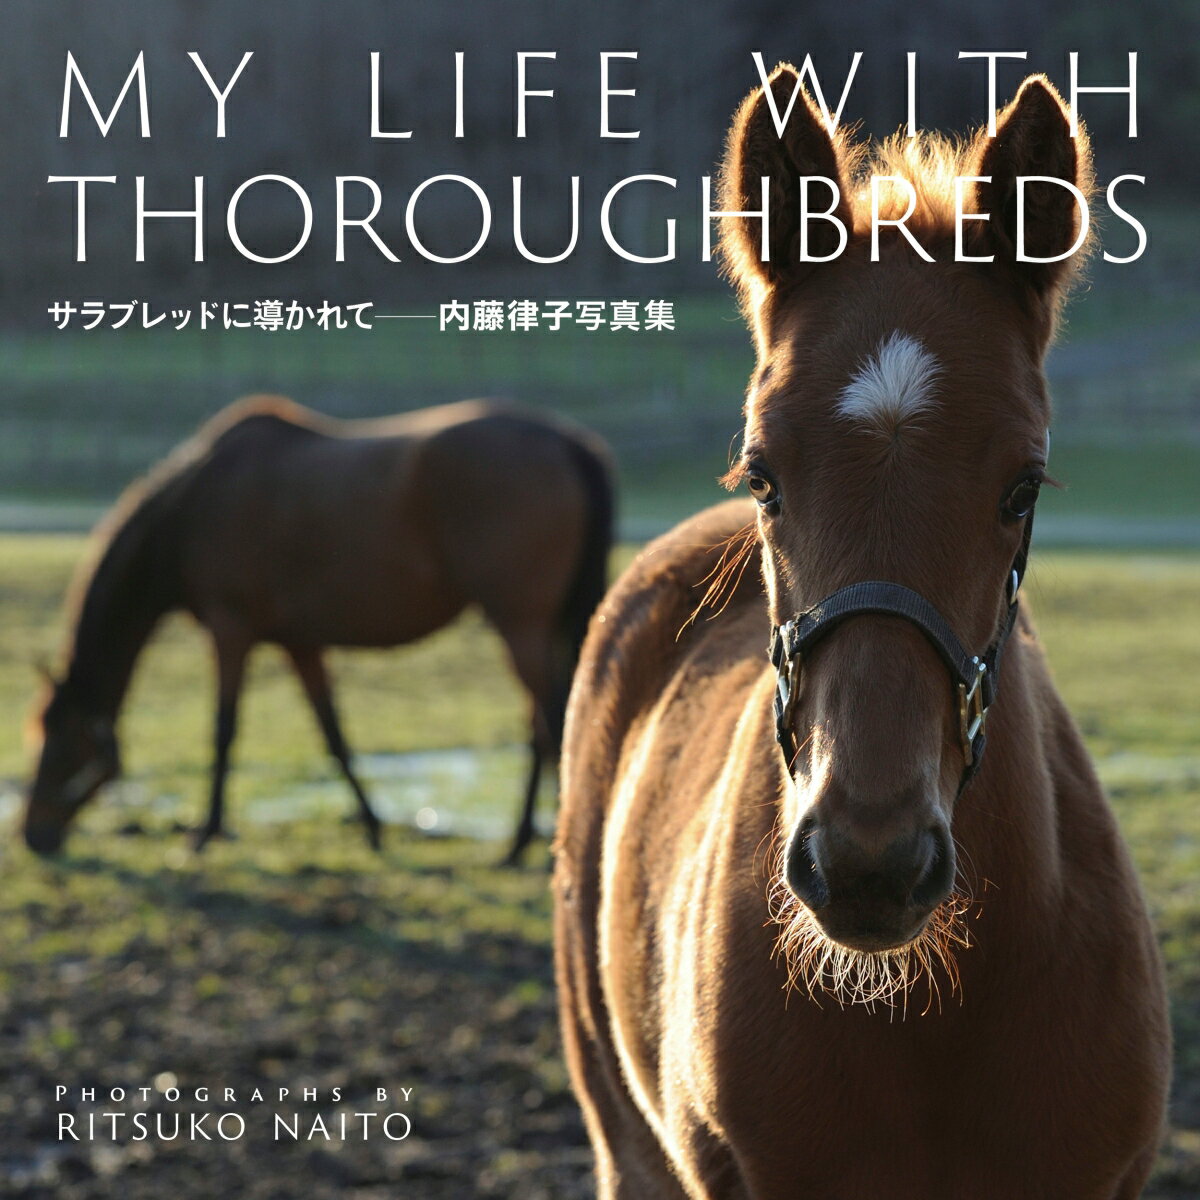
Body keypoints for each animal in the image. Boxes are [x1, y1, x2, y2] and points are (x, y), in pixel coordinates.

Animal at [24, 395, 613, 863]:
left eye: (59, 746)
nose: (32, 836)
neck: (192, 508)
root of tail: (568, 441)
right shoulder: (299, 642)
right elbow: (333, 734)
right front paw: (372, 828)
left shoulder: (229, 630)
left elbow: (223, 729)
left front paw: (206, 832)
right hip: (543, 628)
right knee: (547, 723)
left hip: (521, 624)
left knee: (550, 722)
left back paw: (530, 848)